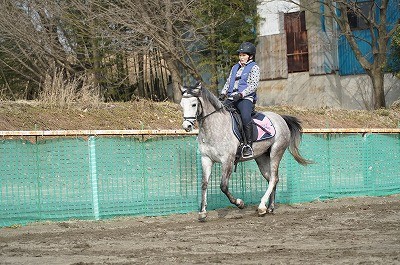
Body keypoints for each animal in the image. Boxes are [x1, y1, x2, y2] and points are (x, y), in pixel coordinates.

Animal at [180, 83, 310, 221]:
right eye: (182, 104)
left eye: (194, 104)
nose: (186, 126)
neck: (214, 126)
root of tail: (280, 118)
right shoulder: (206, 159)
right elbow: (204, 184)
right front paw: (203, 212)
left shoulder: (227, 160)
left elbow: (223, 186)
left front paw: (240, 203)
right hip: (262, 158)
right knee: (271, 178)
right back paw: (270, 207)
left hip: (276, 152)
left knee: (274, 178)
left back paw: (262, 207)